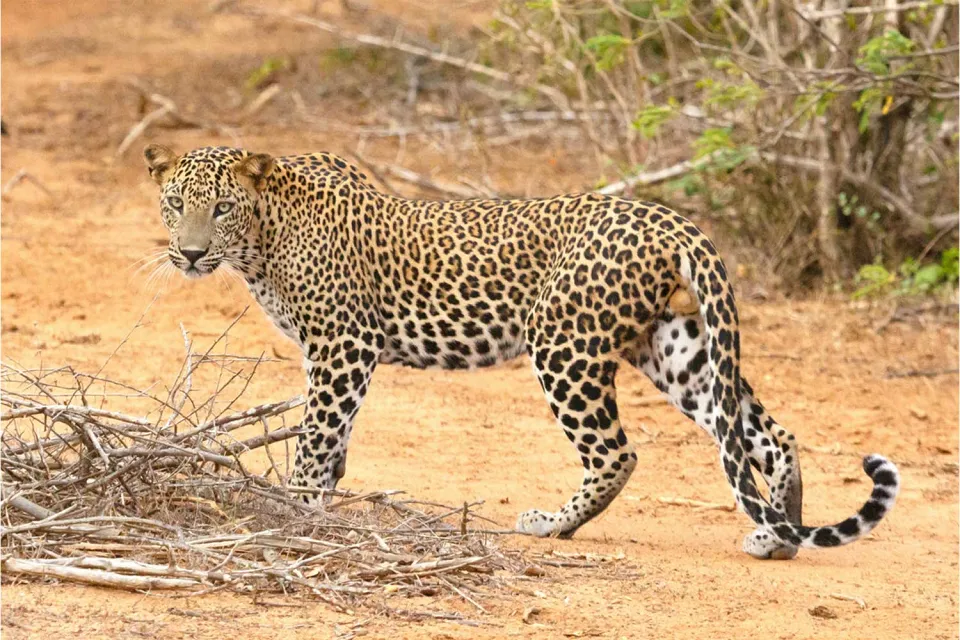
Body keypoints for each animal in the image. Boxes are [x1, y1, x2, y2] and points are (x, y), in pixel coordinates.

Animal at [143, 143, 900, 559]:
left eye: (221, 208)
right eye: (175, 203)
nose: (190, 253)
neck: (263, 239)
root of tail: (669, 218)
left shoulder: (343, 343)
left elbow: (316, 433)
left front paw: (295, 508)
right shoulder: (337, 352)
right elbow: (333, 439)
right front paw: (320, 502)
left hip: (563, 342)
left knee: (617, 452)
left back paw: (549, 526)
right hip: (674, 347)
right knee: (764, 435)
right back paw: (779, 535)